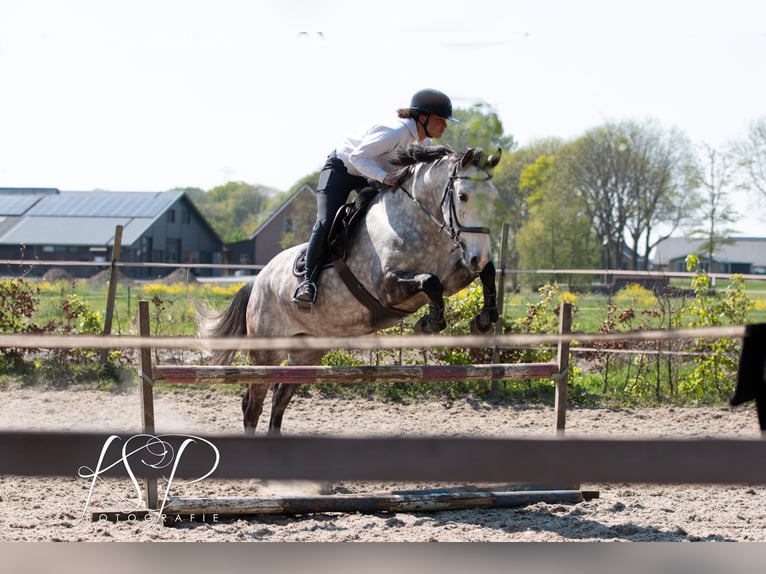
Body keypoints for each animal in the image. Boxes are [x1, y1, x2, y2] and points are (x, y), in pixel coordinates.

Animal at [198, 143, 502, 435]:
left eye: (493, 197)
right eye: (463, 196)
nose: (478, 255)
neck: (420, 224)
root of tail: (258, 279)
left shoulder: (454, 274)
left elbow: (483, 273)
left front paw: (484, 318)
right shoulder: (386, 287)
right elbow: (430, 282)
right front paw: (429, 322)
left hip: (307, 352)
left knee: (280, 396)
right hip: (267, 351)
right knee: (253, 403)